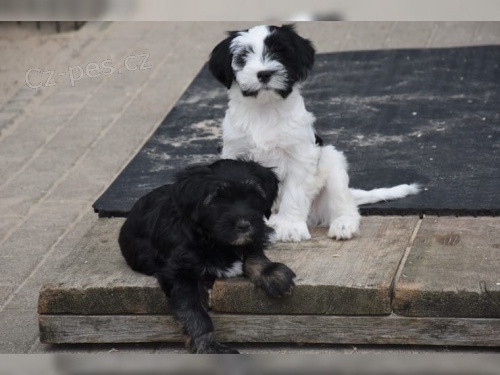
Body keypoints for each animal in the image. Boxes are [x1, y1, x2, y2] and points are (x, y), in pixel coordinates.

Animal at [119, 159, 294, 356]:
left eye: (253, 196)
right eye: (218, 200)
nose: (244, 225)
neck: (212, 238)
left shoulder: (251, 240)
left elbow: (254, 254)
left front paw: (273, 274)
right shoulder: (178, 273)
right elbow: (194, 310)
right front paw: (207, 345)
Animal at [207, 24, 418, 244]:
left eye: (280, 53)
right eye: (243, 57)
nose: (264, 73)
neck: (264, 110)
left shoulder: (300, 157)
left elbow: (294, 193)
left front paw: (290, 226)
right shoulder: (236, 151)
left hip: (333, 164)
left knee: (345, 204)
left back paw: (343, 224)